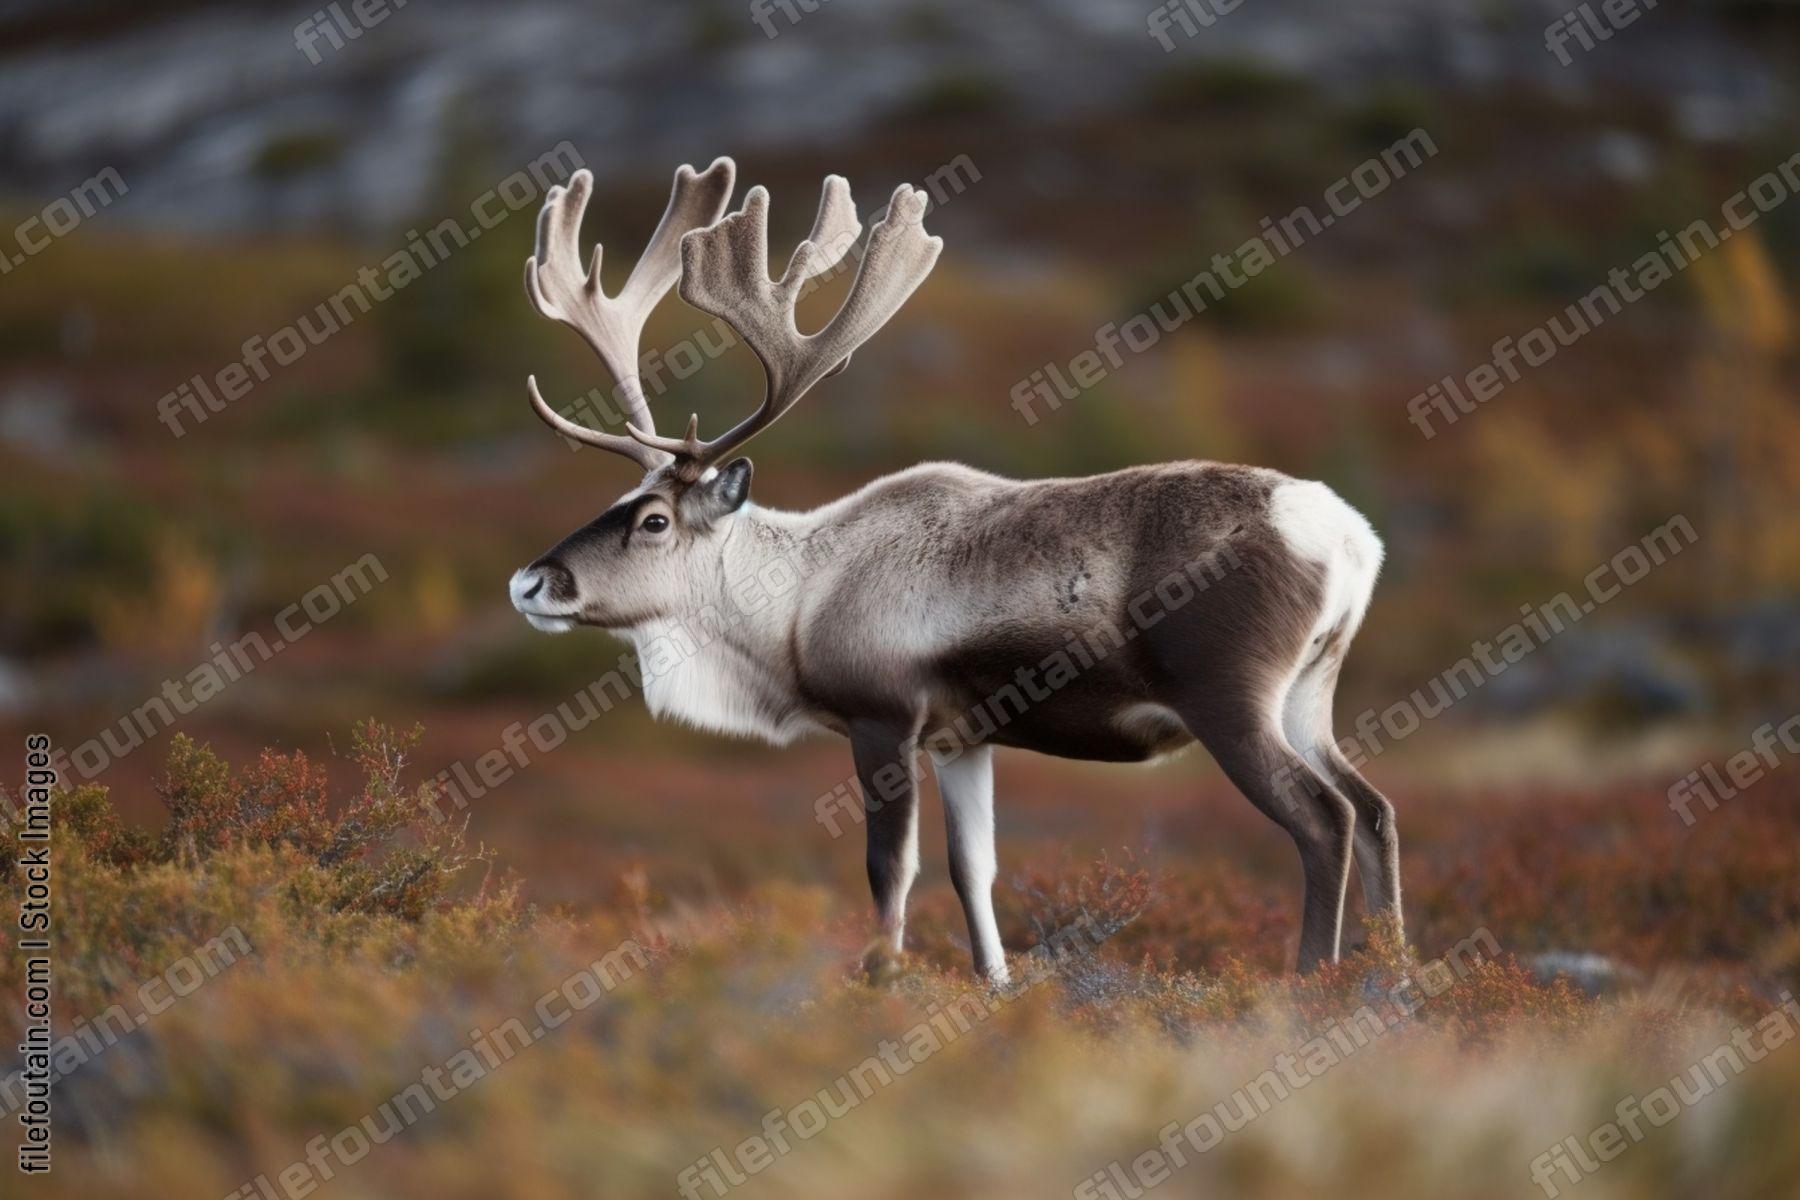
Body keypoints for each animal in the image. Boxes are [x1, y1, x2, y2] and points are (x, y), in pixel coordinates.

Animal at [507, 157, 1396, 983]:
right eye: (622, 499)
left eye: (654, 520)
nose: (529, 582)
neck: (792, 608)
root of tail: (1352, 541)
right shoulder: (962, 740)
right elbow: (975, 869)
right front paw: (994, 983)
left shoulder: (883, 718)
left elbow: (890, 868)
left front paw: (880, 978)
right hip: (1309, 691)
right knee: (1376, 806)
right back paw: (1392, 975)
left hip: (1230, 697)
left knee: (1324, 817)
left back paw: (1312, 980)